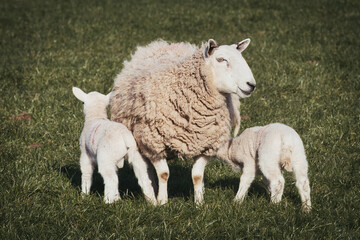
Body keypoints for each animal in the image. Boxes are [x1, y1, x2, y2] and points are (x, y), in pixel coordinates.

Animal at [109, 39, 256, 204]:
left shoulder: (206, 146)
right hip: (138, 140)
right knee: (143, 168)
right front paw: (162, 201)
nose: (251, 85)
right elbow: (164, 174)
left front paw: (199, 203)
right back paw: (151, 197)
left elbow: (197, 176)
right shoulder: (155, 144)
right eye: (221, 59)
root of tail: (161, 44)